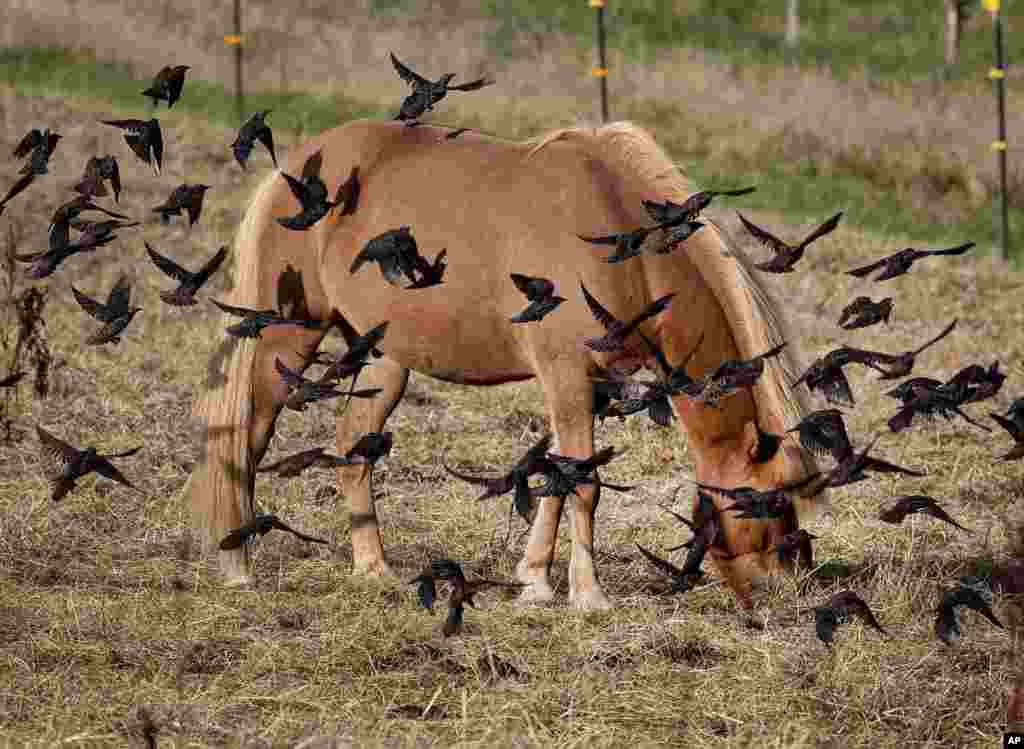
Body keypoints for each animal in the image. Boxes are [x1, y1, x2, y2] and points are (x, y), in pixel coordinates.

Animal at [182, 117, 823, 610]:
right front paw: (587, 595)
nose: (789, 586)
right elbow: (583, 482)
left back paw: (372, 567)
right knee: (247, 435)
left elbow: (558, 477)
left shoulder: (586, 386)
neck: (619, 231)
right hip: (285, 340)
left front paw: (535, 581)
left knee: (352, 447)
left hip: (384, 358)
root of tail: (291, 168)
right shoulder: (566, 375)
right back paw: (238, 563)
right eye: (775, 499)